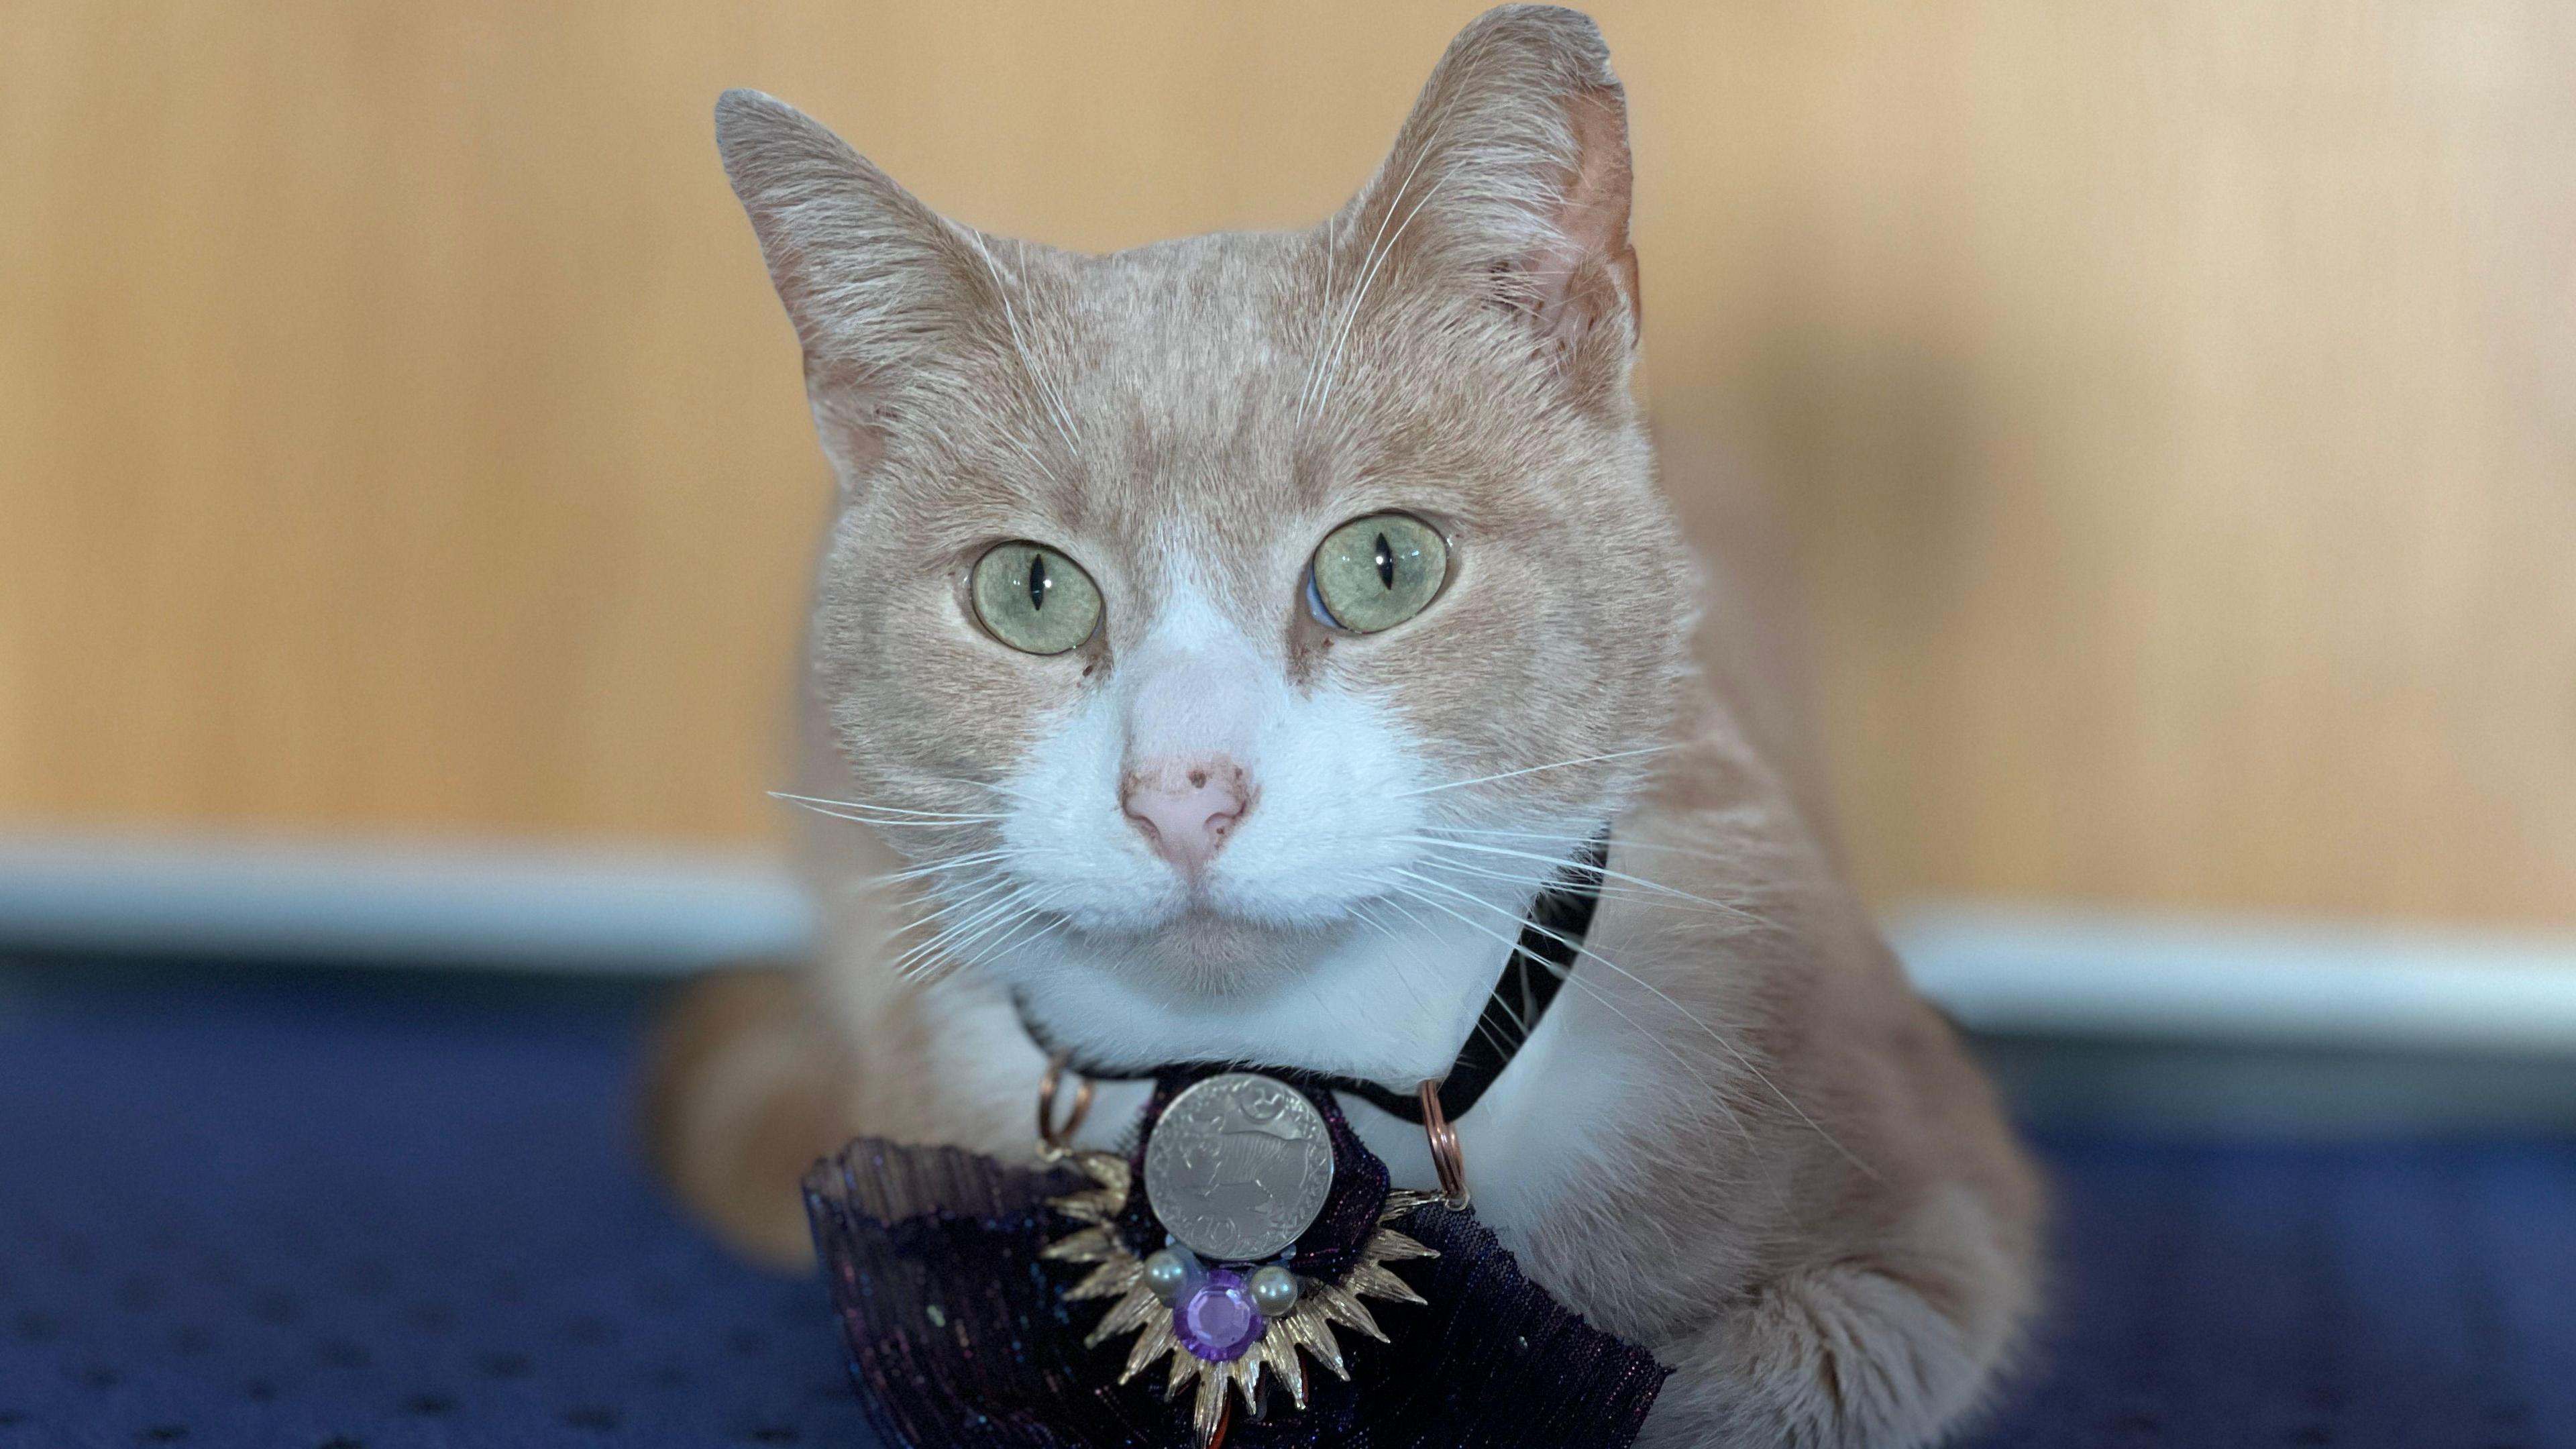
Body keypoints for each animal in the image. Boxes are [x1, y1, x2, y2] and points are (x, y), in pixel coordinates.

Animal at [649, 5, 2050, 1433]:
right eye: (1028, 590)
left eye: (1386, 565)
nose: (1184, 792)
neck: (1290, 1069)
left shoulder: (1926, 1211)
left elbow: (1767, 1378)